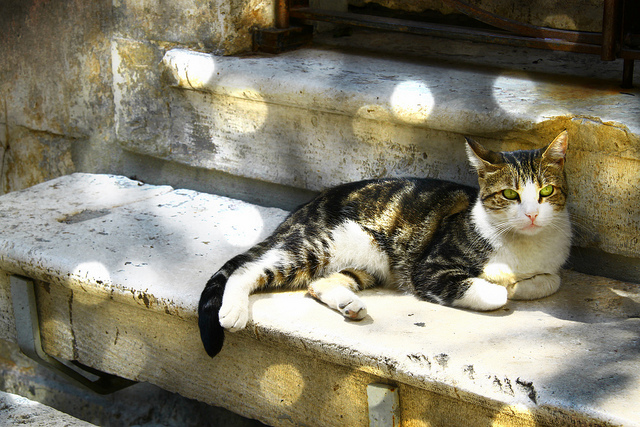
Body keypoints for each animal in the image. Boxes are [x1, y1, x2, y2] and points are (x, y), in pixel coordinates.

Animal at [199, 131, 568, 358]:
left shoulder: (552, 265)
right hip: (322, 244)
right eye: (509, 194)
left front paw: (520, 283)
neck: (523, 245)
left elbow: (552, 280)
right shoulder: (428, 269)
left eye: (546, 191)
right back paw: (233, 311)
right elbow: (495, 293)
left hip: (371, 262)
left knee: (318, 283)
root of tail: (304, 209)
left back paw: (349, 304)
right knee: (248, 269)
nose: (532, 214)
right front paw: (503, 283)